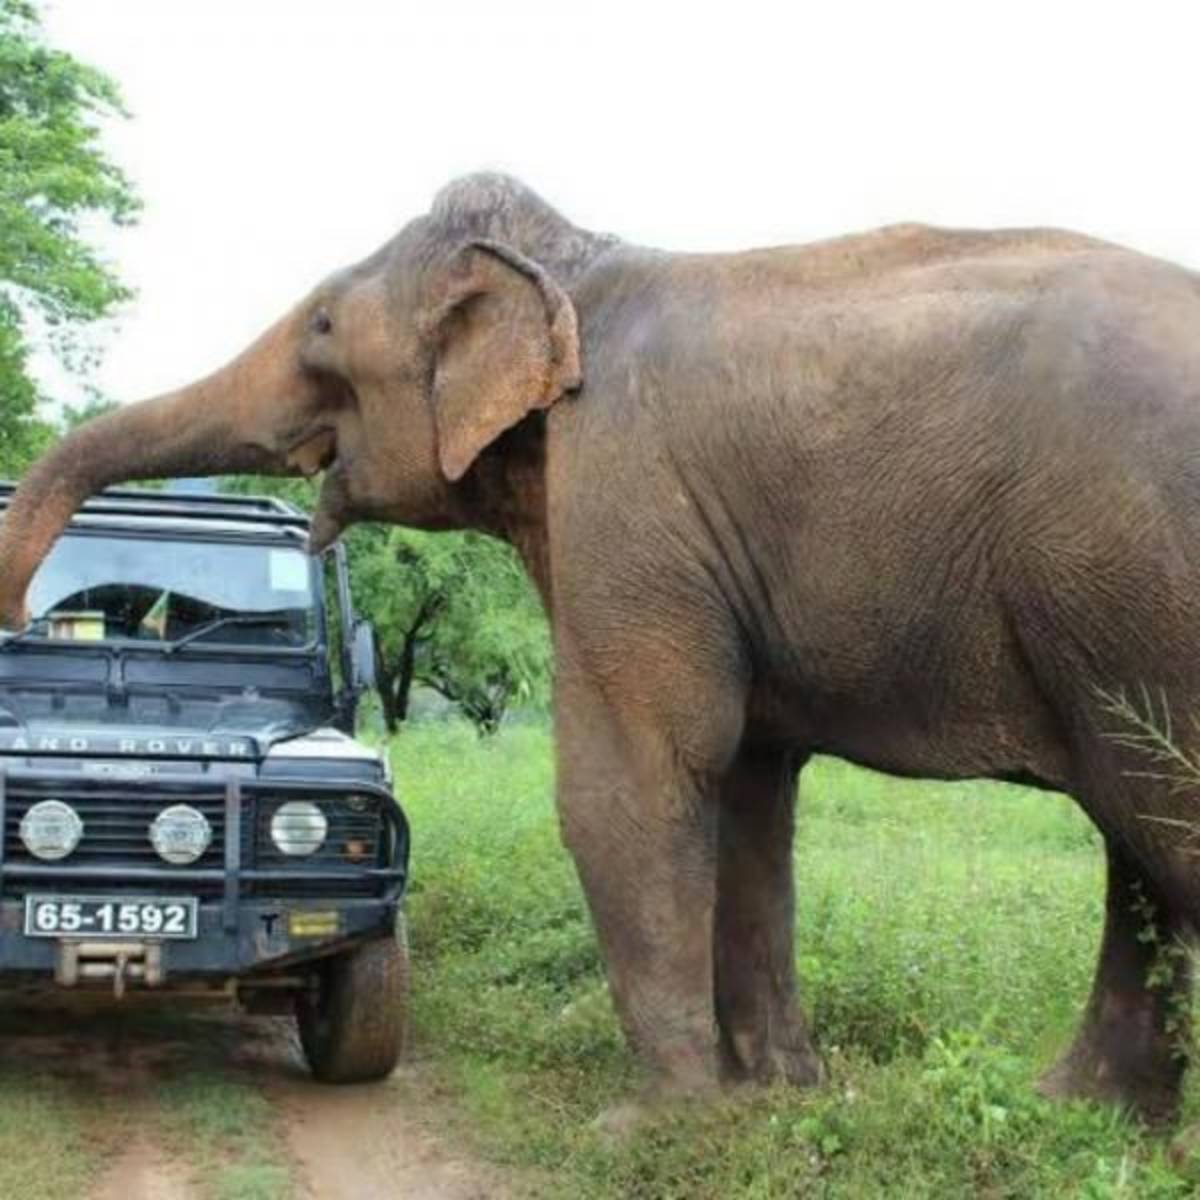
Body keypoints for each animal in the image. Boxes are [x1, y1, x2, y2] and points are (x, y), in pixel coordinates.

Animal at [3, 173, 1200, 1122]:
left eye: (325, 329)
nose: (33, 612)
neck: (575, 265)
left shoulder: (625, 494)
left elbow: (630, 780)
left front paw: (656, 1127)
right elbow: (746, 785)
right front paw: (772, 1103)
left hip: (1134, 577)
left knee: (1158, 830)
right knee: (1139, 849)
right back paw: (1075, 1114)